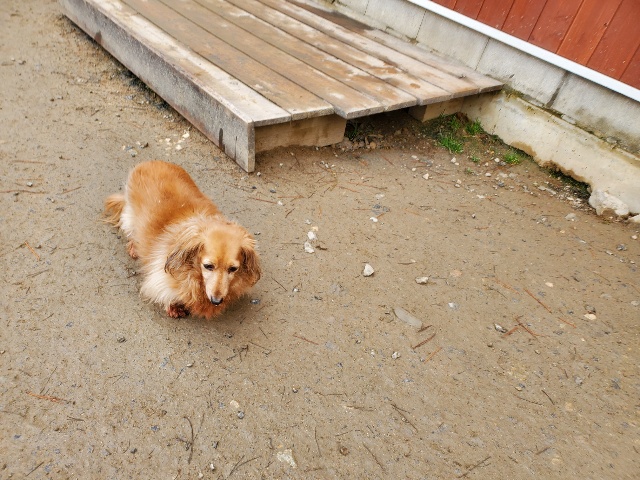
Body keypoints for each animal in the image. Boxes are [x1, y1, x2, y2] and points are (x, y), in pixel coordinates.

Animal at [104, 160, 261, 319]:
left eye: (233, 269)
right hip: (130, 215)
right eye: (208, 266)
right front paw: (174, 306)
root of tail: (150, 161)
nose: (216, 301)